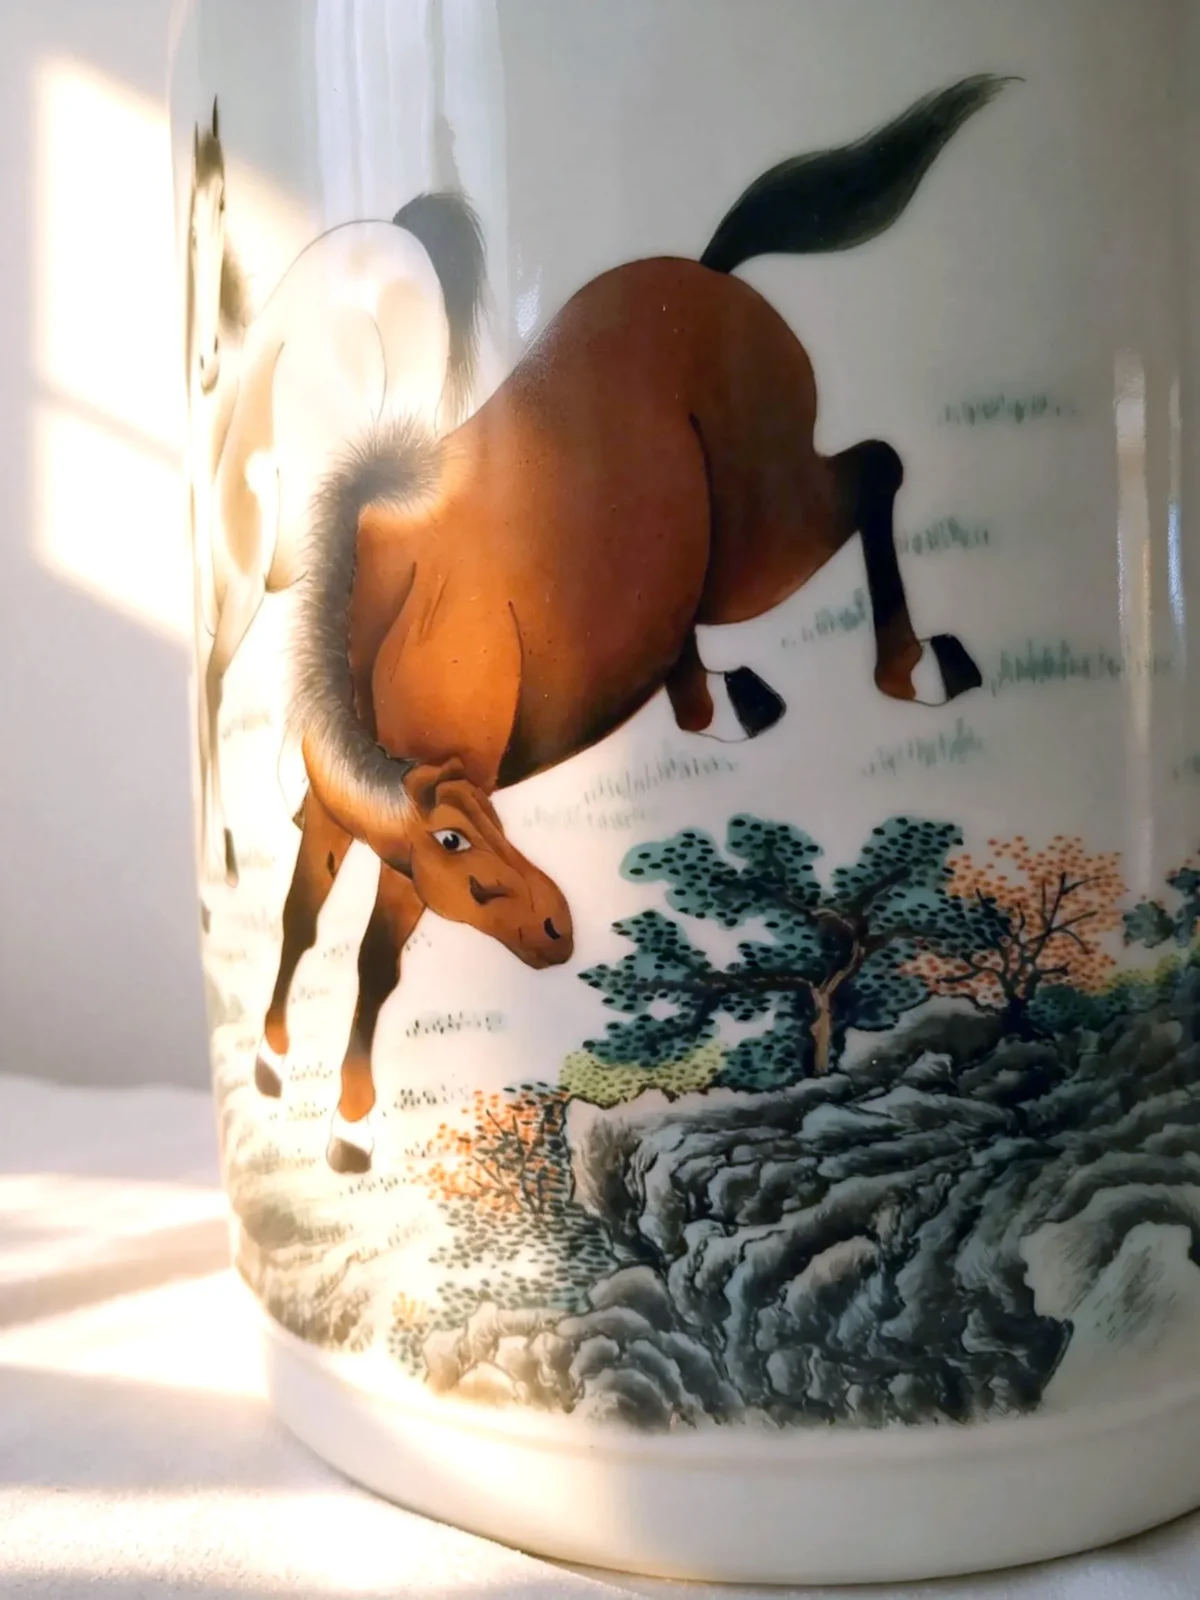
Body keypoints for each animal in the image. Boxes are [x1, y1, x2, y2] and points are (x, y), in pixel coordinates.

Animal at [184, 101, 488, 887]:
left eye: (223, 205)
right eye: (186, 222)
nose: (203, 362)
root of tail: (398, 232)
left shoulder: (260, 592)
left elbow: (221, 687)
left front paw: (229, 859)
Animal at [255, 75, 1009, 1174]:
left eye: (488, 825)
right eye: (462, 836)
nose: (560, 929)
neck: (370, 621)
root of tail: (709, 273)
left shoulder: (407, 827)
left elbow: (374, 960)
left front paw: (349, 1121)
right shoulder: (340, 817)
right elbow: (300, 918)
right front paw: (273, 1060)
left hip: (762, 536)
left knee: (875, 469)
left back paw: (914, 669)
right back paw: (725, 705)